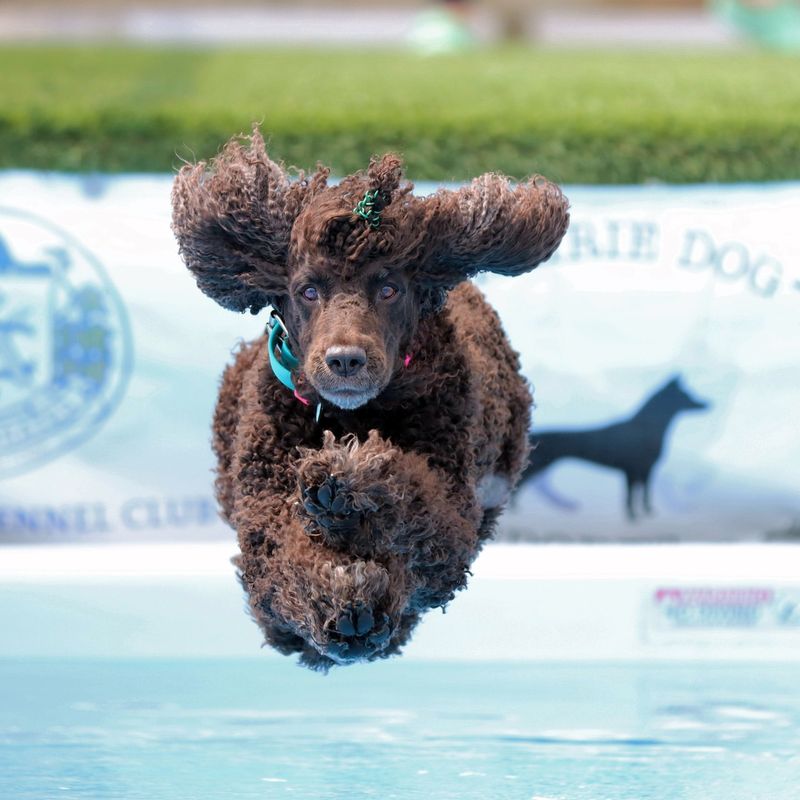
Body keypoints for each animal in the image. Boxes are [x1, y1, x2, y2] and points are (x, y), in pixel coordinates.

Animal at [172, 130, 568, 668]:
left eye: (388, 288)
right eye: (308, 290)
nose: (345, 360)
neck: (351, 418)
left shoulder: (452, 519)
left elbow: (413, 502)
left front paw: (350, 482)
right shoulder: (264, 524)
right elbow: (284, 565)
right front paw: (339, 600)